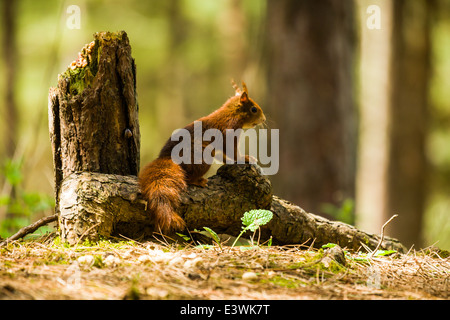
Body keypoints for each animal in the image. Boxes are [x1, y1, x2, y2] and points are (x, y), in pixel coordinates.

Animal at [137, 81, 264, 232]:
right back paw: (199, 181)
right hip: (201, 157)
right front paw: (244, 158)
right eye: (254, 109)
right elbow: (232, 151)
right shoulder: (229, 131)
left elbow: (223, 155)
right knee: (189, 177)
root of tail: (168, 158)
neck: (231, 113)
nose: (264, 119)